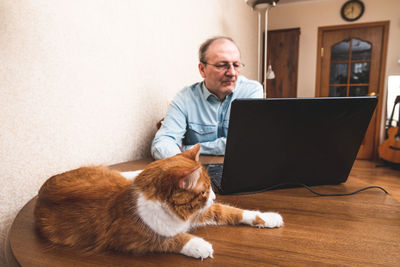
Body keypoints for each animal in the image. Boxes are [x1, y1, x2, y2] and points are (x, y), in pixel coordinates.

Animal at [35, 146, 284, 260]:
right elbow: (168, 239)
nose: (214, 196)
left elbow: (232, 211)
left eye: (212, 189)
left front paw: (269, 217)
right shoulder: (127, 239)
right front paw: (198, 245)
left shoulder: (200, 213)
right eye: (205, 191)